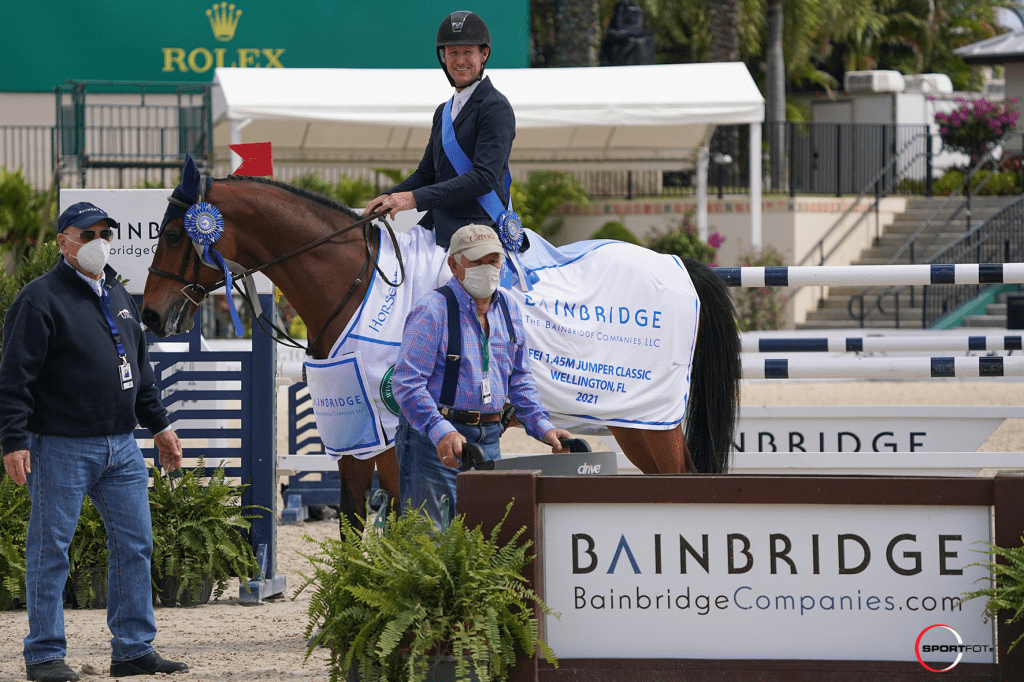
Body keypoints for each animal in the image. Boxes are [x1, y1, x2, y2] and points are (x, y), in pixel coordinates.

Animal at [142, 166, 737, 522]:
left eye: (171, 235)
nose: (150, 314)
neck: (356, 280)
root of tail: (678, 263)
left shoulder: (394, 424)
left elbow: (405, 510)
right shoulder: (355, 427)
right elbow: (354, 515)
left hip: (649, 422)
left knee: (681, 480)